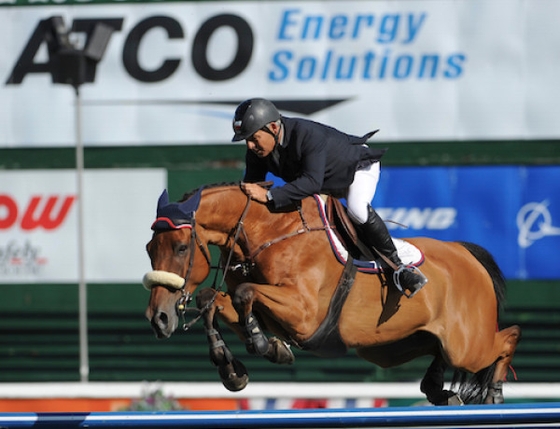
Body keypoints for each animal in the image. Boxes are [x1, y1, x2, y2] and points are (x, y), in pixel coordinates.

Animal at [143, 183, 520, 404]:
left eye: (180, 248)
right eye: (149, 248)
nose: (158, 319)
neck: (269, 232)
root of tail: (467, 254)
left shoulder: (305, 315)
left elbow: (244, 294)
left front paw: (263, 344)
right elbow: (212, 300)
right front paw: (232, 368)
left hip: (467, 345)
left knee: (507, 338)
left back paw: (495, 395)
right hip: (390, 348)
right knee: (439, 352)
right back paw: (439, 388)